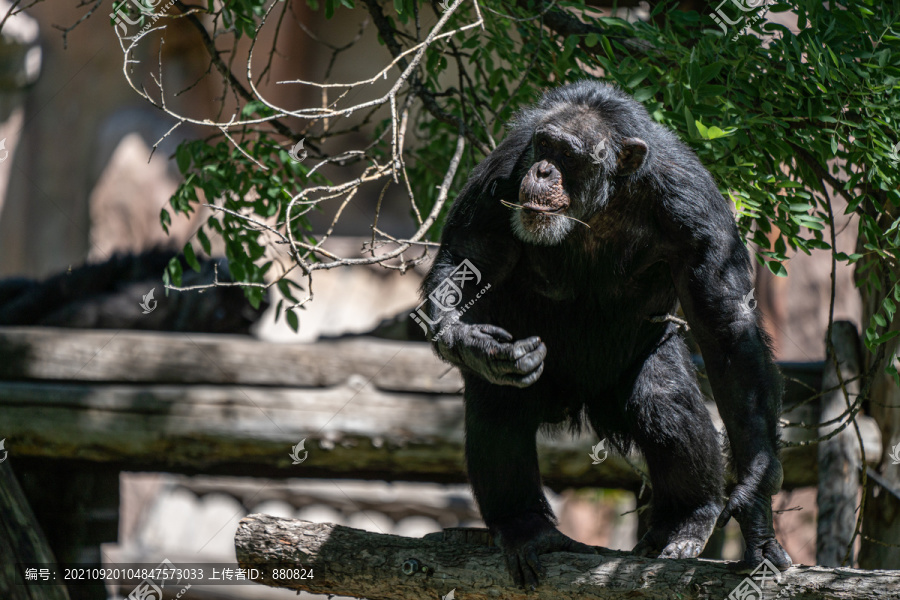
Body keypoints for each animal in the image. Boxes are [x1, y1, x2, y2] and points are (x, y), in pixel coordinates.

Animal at [418, 82, 792, 588]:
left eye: (567, 155)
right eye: (543, 145)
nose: (542, 169)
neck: (603, 201)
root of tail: (577, 403)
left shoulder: (696, 205)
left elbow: (726, 326)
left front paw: (755, 504)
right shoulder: (502, 168)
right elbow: (467, 257)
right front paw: (478, 347)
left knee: (665, 400)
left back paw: (687, 520)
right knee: (500, 403)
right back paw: (525, 528)